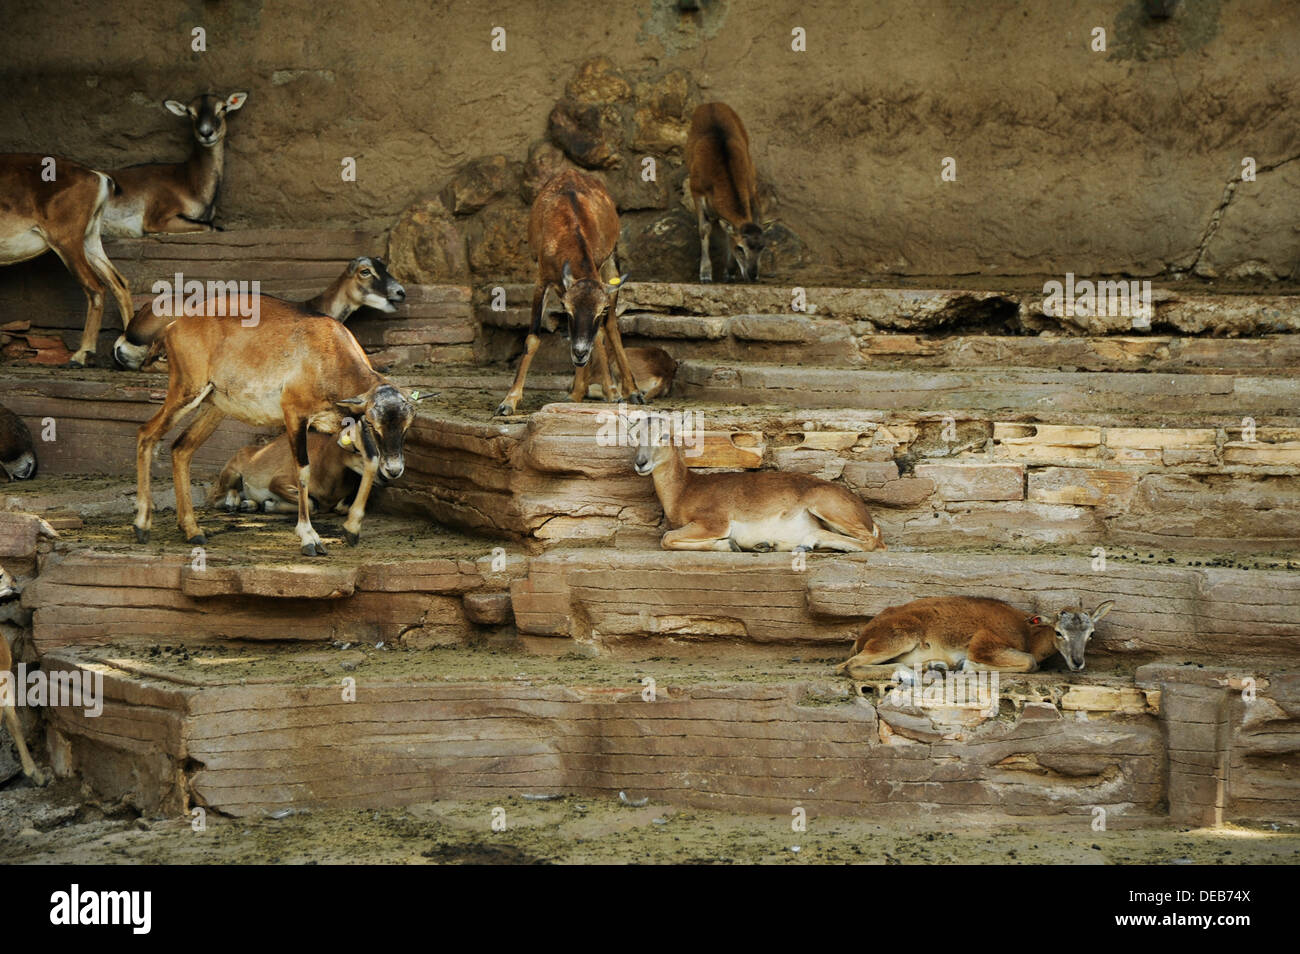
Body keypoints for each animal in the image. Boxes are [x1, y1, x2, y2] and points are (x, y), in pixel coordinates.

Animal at [493, 171, 642, 415]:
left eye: (600, 310)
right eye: (567, 310)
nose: (580, 353)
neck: (567, 228)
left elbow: (599, 332)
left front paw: (613, 393)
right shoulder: (542, 281)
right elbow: (532, 339)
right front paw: (508, 402)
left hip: (612, 264)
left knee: (611, 327)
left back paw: (633, 391)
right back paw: (577, 393)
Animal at [686, 105, 764, 283]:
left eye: (762, 247)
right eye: (740, 248)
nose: (753, 274)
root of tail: (711, 103)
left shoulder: (750, 183)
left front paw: (729, 272)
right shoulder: (696, 189)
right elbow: (704, 228)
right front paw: (705, 274)